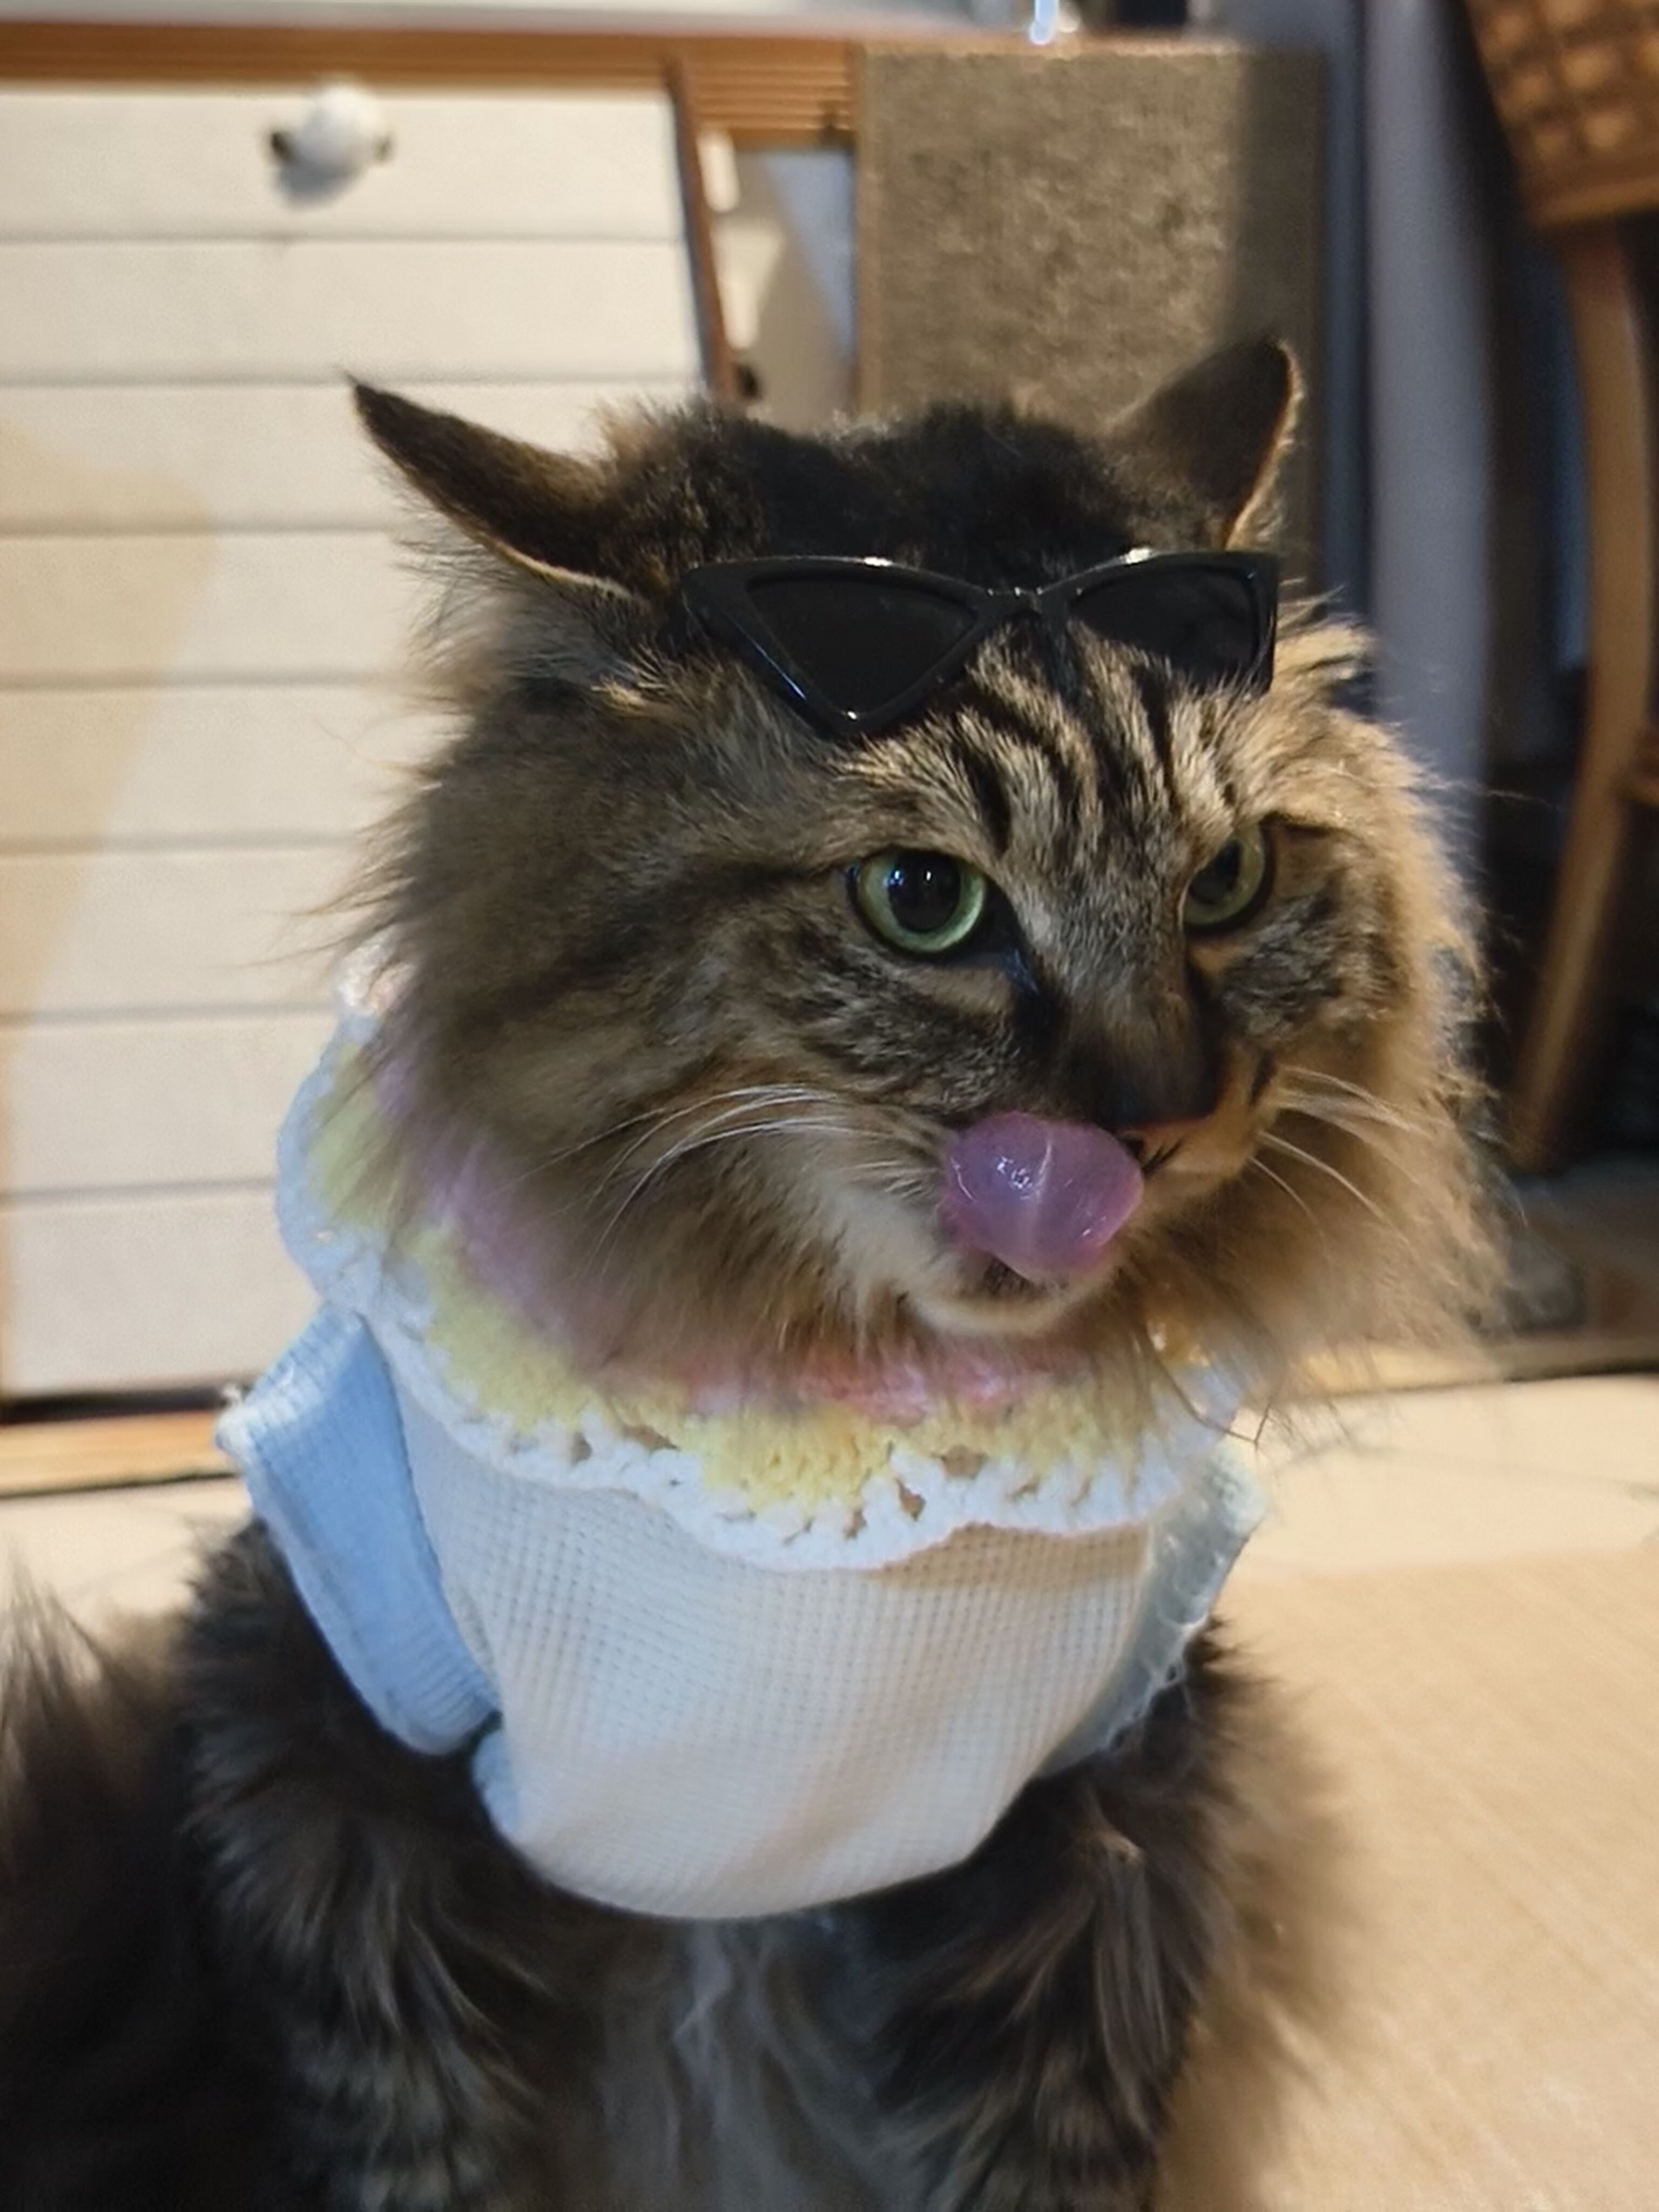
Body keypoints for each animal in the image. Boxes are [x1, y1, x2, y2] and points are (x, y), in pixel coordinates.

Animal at [0, 338, 1493, 2211]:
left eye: (1227, 882)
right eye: (922, 899)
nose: (1159, 1119)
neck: (826, 1430)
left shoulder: (1102, 1820)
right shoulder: (327, 1757)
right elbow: (414, 2142)